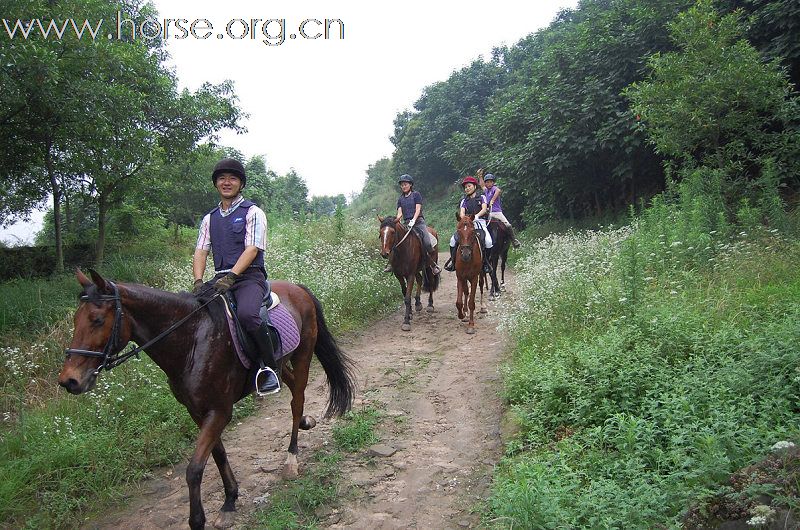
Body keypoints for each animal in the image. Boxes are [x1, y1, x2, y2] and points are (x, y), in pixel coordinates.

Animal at [57, 270, 354, 524]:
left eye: (97, 320)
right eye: (75, 320)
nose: (69, 381)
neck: (191, 340)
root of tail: (298, 289)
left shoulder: (220, 411)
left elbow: (195, 468)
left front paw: (198, 519)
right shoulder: (198, 411)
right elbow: (218, 454)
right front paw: (230, 499)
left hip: (304, 354)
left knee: (297, 400)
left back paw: (292, 457)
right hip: (280, 362)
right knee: (291, 388)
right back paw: (305, 421)